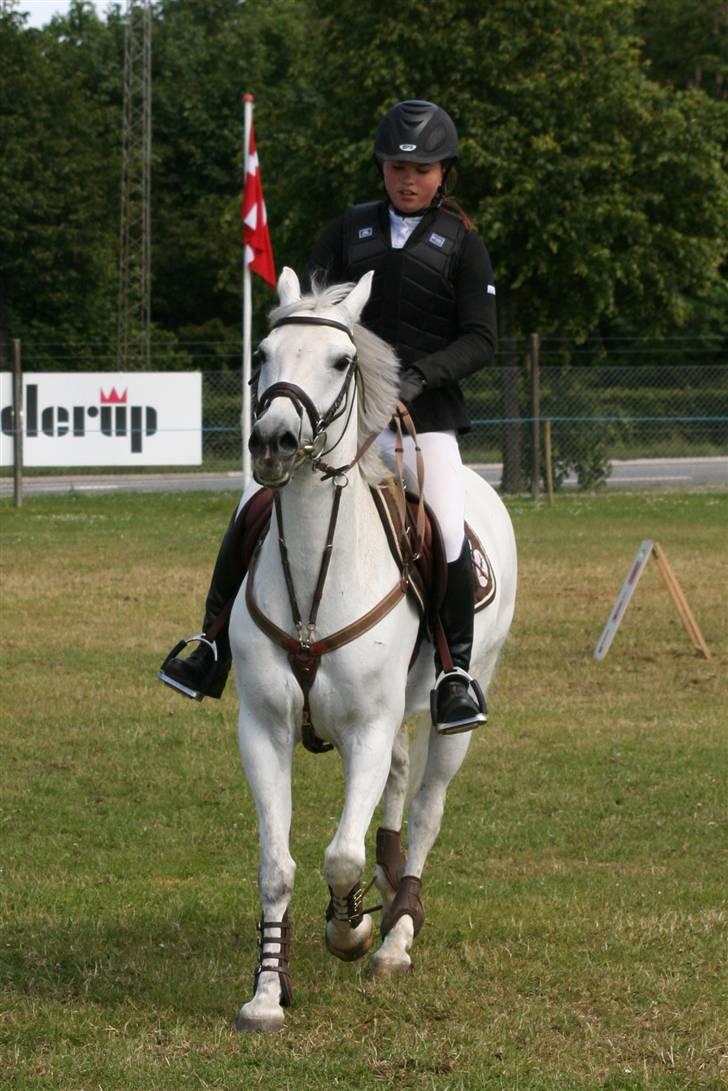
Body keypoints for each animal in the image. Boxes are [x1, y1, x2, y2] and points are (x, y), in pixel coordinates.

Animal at [230, 266, 515, 1029]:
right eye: (262, 353)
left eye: (340, 361)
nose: (272, 441)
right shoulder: (263, 728)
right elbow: (278, 866)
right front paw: (267, 992)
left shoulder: (365, 727)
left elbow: (338, 857)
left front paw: (350, 929)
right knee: (395, 787)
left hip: (457, 712)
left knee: (425, 809)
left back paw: (396, 934)